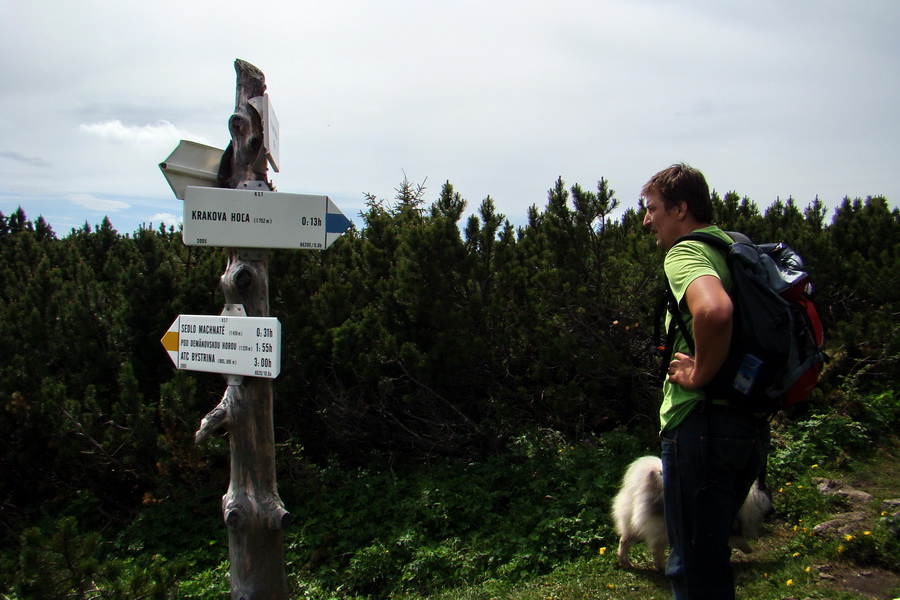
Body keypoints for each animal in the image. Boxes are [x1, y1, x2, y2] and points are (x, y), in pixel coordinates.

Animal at [612, 458, 772, 568]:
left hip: (633, 525)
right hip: (663, 530)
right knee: (656, 550)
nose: (771, 512)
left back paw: (625, 562)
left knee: (624, 541)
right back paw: (662, 567)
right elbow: (737, 540)